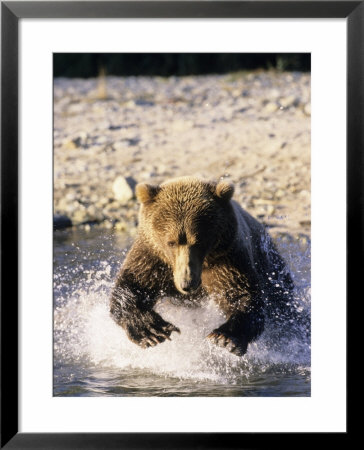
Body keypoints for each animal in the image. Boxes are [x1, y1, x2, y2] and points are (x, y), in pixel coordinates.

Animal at [109, 176, 294, 356]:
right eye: (171, 242)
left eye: (199, 241)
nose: (187, 283)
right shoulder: (154, 257)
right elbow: (132, 286)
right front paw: (153, 331)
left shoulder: (227, 259)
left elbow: (241, 294)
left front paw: (224, 337)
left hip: (271, 268)